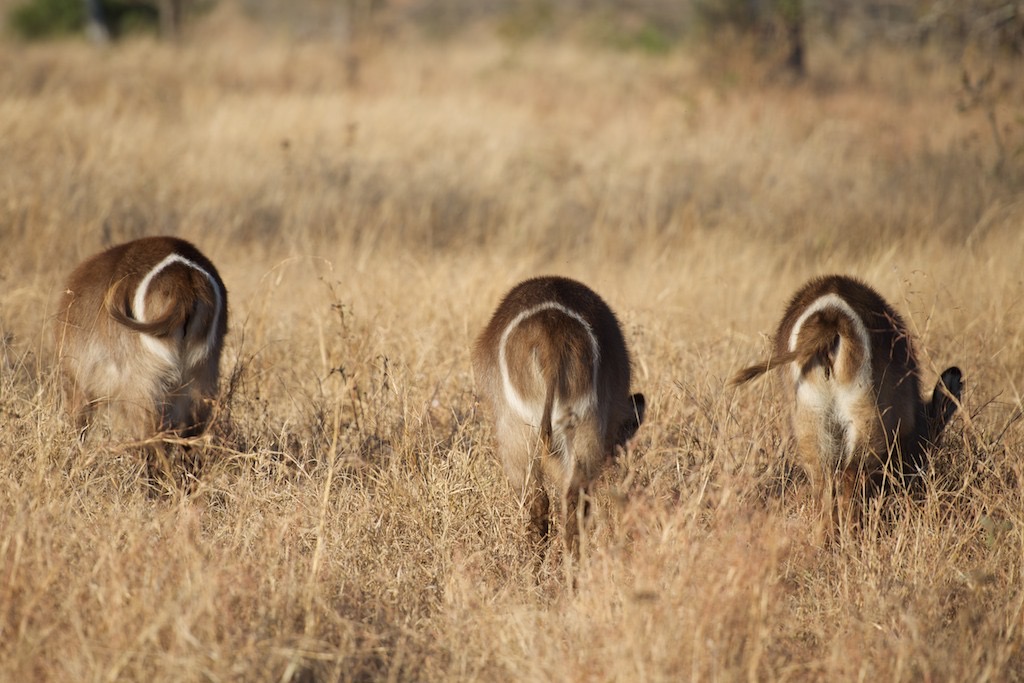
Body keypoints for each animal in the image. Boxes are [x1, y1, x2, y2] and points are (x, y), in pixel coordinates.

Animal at [55, 235, 228, 471]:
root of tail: (183, 277)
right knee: (191, 439)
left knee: (153, 444)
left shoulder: (77, 383)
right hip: (200, 381)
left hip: (142, 387)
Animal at [733, 274, 962, 532]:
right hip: (865, 416)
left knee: (824, 480)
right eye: (924, 451)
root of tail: (831, 315)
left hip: (810, 418)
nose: (917, 485)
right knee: (852, 473)